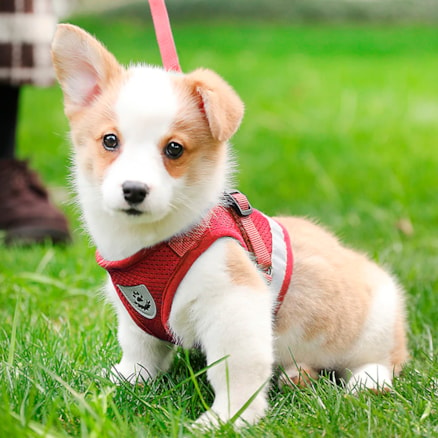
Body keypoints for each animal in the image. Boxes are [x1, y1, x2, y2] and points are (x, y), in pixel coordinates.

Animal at [51, 24, 408, 428]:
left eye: (174, 149)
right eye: (110, 140)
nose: (134, 190)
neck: (157, 242)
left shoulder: (232, 305)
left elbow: (235, 371)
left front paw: (225, 419)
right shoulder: (135, 316)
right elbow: (139, 350)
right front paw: (126, 380)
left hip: (376, 322)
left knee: (385, 360)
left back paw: (366, 380)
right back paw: (297, 375)